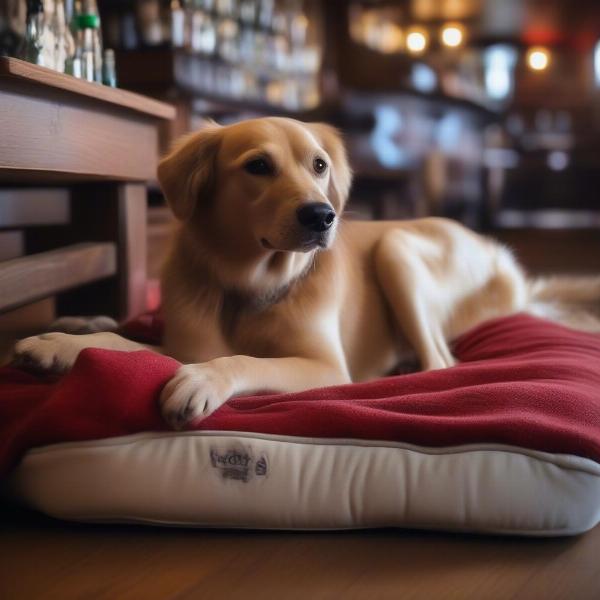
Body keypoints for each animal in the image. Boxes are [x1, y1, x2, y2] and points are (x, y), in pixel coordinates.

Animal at [14, 117, 600, 426]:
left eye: (319, 165)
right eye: (257, 166)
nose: (323, 216)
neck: (250, 284)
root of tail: (506, 263)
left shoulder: (323, 367)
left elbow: (243, 358)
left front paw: (204, 379)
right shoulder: (187, 340)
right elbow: (124, 342)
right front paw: (60, 345)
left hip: (396, 248)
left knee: (441, 362)